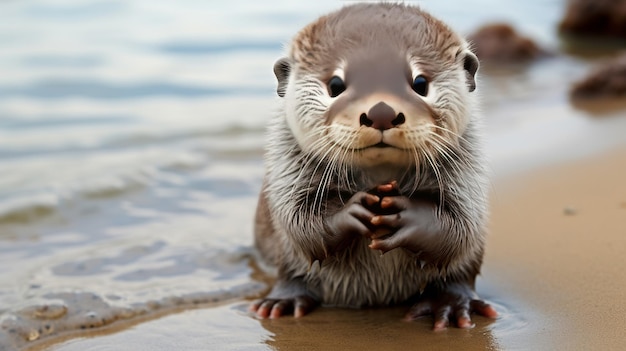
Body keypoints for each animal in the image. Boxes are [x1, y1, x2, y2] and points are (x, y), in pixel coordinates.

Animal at [249, 3, 498, 332]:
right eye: (335, 85)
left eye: (420, 84)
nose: (381, 112)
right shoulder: (287, 167)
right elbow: (298, 223)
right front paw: (352, 211)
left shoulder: (468, 169)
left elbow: (461, 227)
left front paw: (407, 215)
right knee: (291, 273)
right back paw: (283, 302)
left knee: (459, 276)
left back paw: (452, 304)